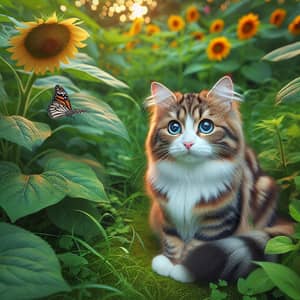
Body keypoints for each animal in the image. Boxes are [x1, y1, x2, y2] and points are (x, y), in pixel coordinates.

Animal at [144, 76, 294, 282]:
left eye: (206, 126)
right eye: (174, 128)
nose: (188, 143)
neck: (189, 176)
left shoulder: (218, 220)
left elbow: (198, 244)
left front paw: (185, 269)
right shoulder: (167, 212)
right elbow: (172, 239)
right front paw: (169, 263)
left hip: (265, 189)